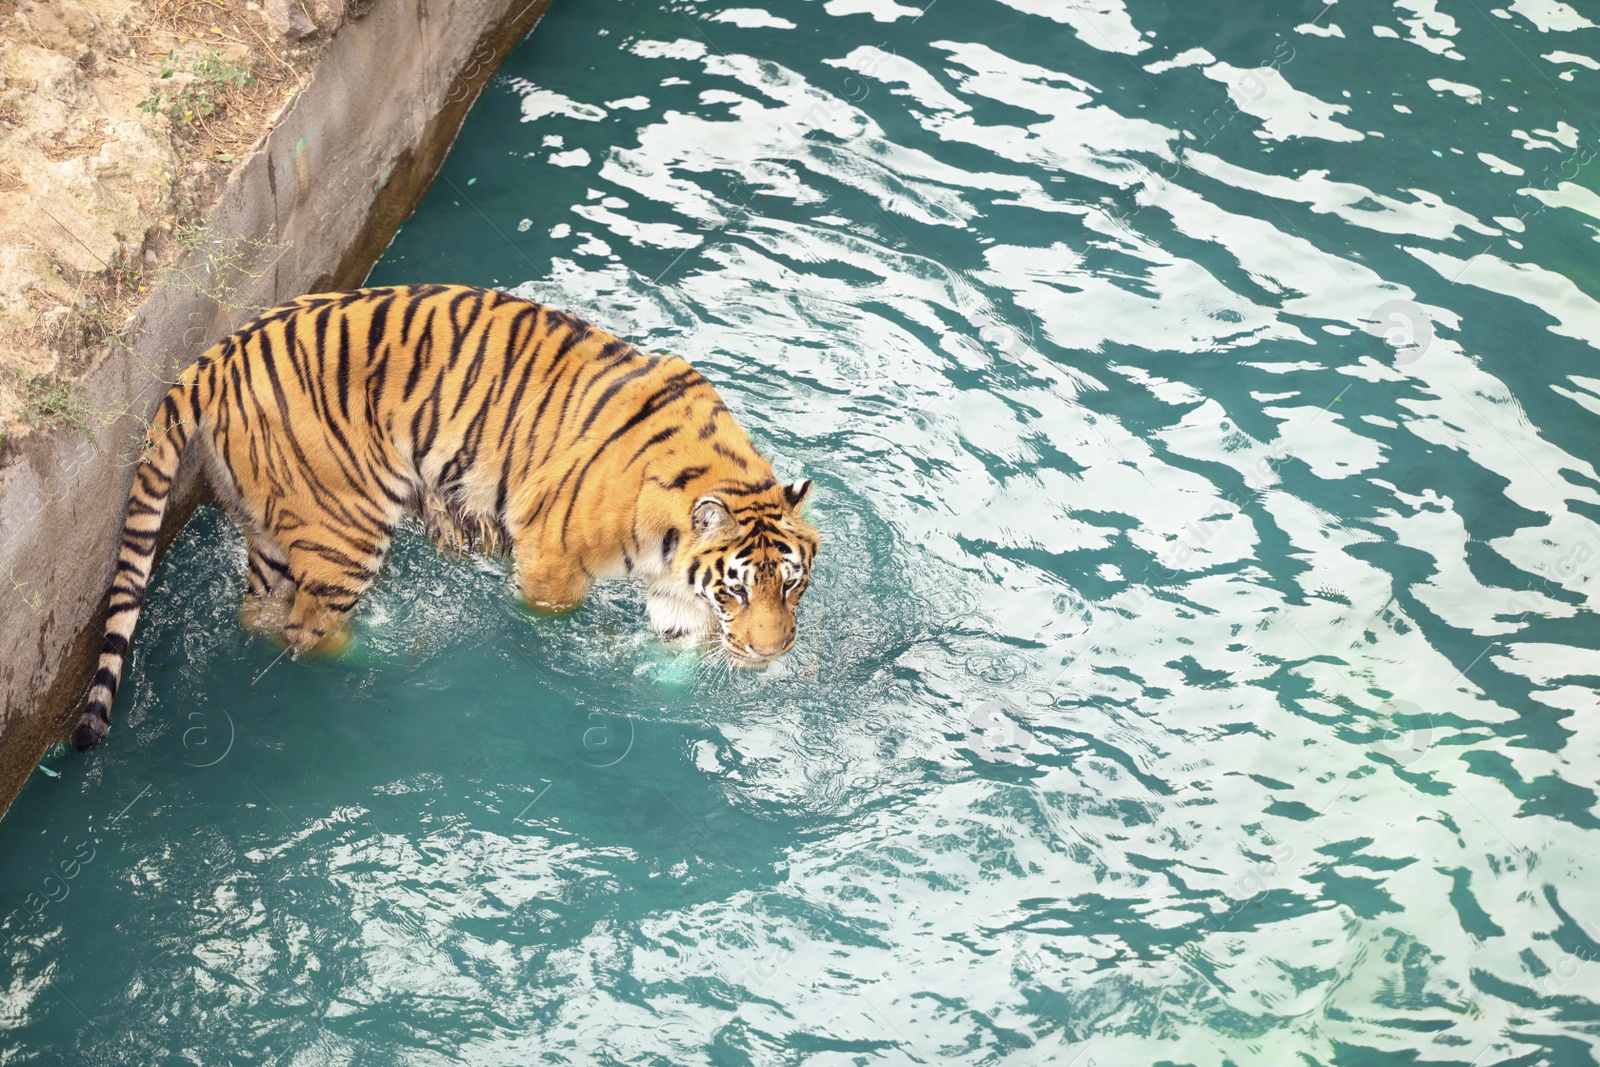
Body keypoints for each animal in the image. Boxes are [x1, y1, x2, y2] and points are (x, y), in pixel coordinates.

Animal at [72, 283, 825, 751]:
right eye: (737, 587)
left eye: (789, 584)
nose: (770, 653)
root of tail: (213, 358)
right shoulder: (552, 563)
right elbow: (548, 620)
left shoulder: (676, 594)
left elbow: (680, 649)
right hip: (347, 526)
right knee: (308, 629)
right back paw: (397, 652)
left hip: (272, 526)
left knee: (260, 615)